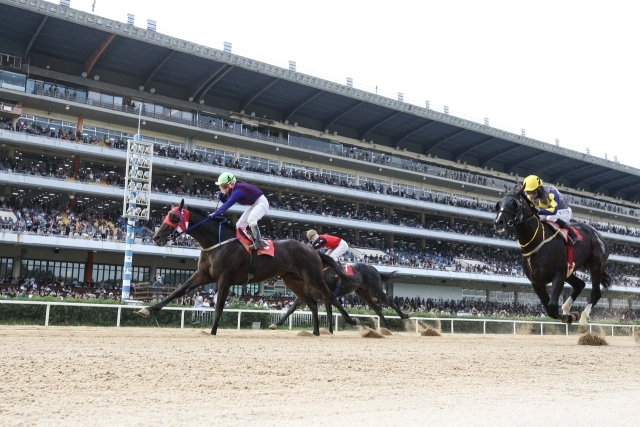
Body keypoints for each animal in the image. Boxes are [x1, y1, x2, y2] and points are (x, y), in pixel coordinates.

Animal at [138, 201, 360, 338]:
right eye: (166, 215)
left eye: (174, 217)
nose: (157, 237)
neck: (217, 242)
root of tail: (311, 249)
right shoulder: (203, 275)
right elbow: (178, 291)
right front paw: (147, 309)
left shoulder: (225, 277)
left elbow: (219, 306)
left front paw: (212, 331)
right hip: (292, 280)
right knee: (313, 303)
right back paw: (314, 332)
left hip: (313, 276)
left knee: (330, 298)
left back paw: (353, 321)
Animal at [268, 260, 408, 332]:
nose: (270, 279)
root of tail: (374, 269)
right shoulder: (307, 294)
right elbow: (291, 309)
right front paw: (276, 324)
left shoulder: (327, 295)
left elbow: (332, 312)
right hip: (363, 293)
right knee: (377, 308)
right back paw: (386, 328)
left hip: (375, 289)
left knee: (389, 302)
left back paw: (404, 316)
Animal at [492, 191, 612, 334]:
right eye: (499, 204)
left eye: (514, 203)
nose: (499, 222)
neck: (536, 242)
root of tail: (598, 235)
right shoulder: (537, 282)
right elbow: (549, 310)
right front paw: (570, 315)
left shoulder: (558, 275)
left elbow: (553, 305)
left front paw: (571, 316)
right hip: (570, 270)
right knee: (580, 284)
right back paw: (567, 308)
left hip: (595, 266)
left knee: (595, 293)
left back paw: (582, 319)